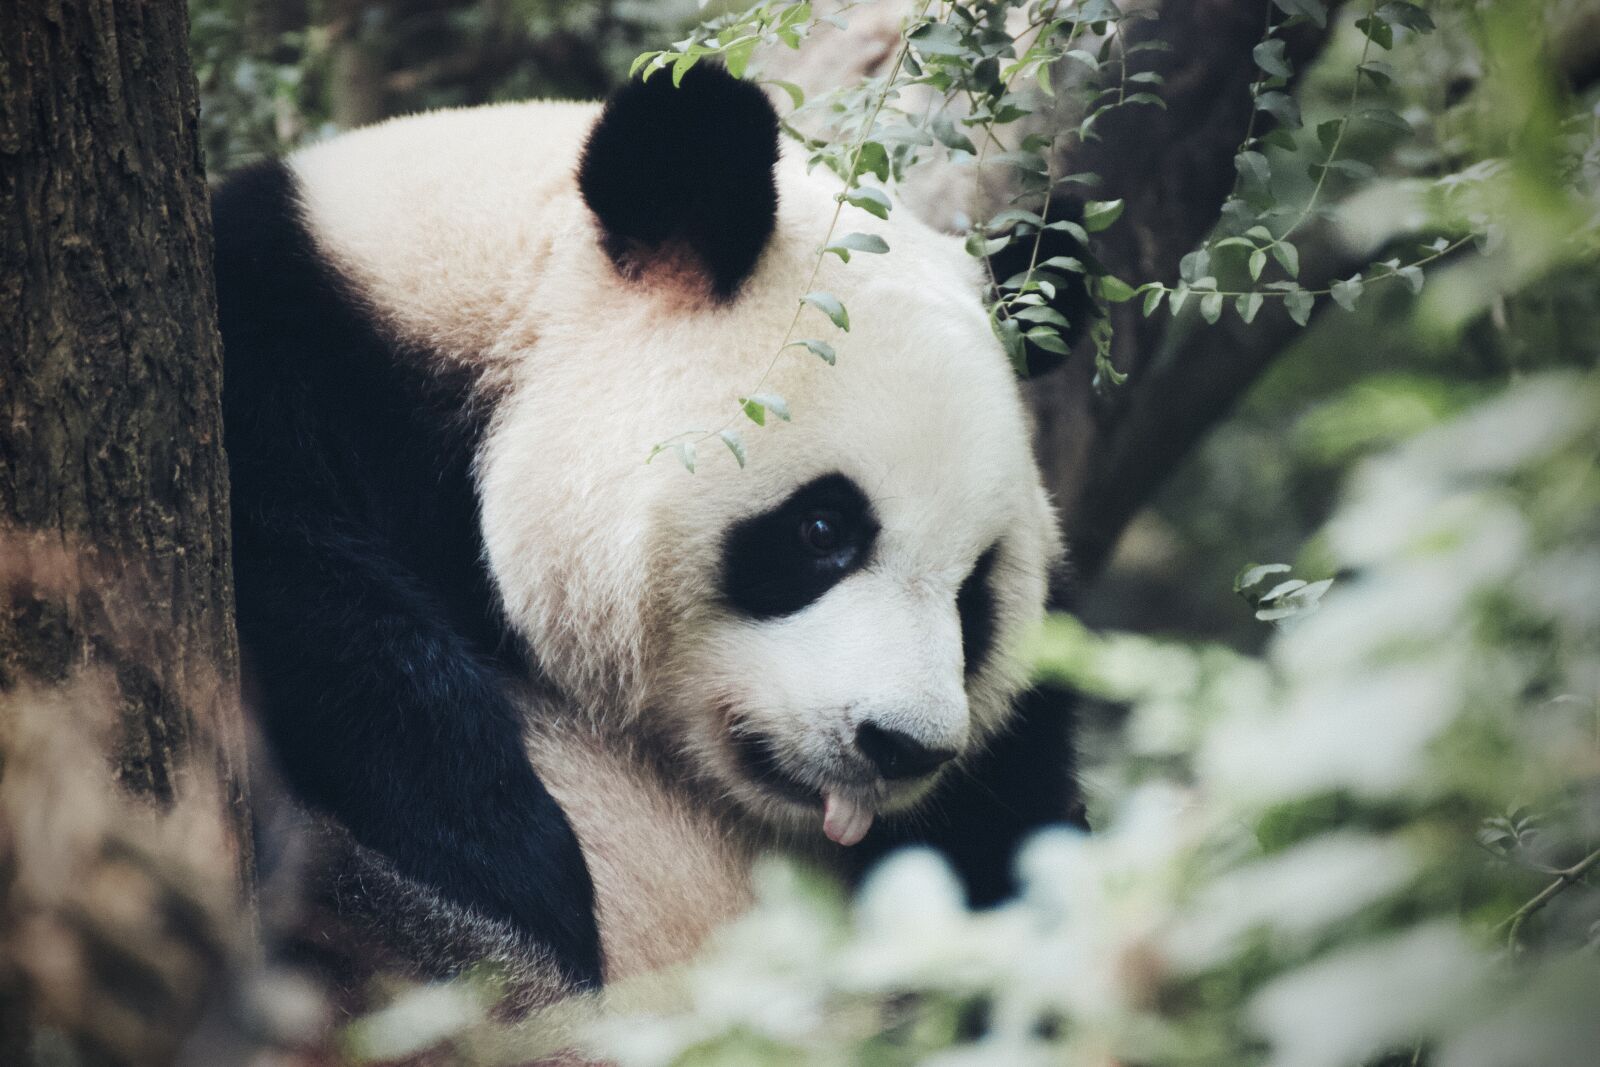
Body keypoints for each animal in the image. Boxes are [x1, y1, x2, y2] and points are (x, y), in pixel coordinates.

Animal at [214, 65, 1081, 999]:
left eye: (975, 593)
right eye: (821, 529)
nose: (903, 746)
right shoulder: (279, 355)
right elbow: (308, 590)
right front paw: (511, 862)